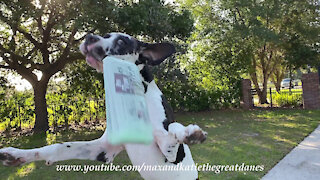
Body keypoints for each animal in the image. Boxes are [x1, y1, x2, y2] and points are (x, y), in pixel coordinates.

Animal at [0, 32, 208, 180]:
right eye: (106, 34)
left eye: (122, 42)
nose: (89, 36)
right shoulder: (104, 149)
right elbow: (58, 147)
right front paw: (18, 155)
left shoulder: (170, 154)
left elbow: (172, 131)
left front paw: (189, 133)